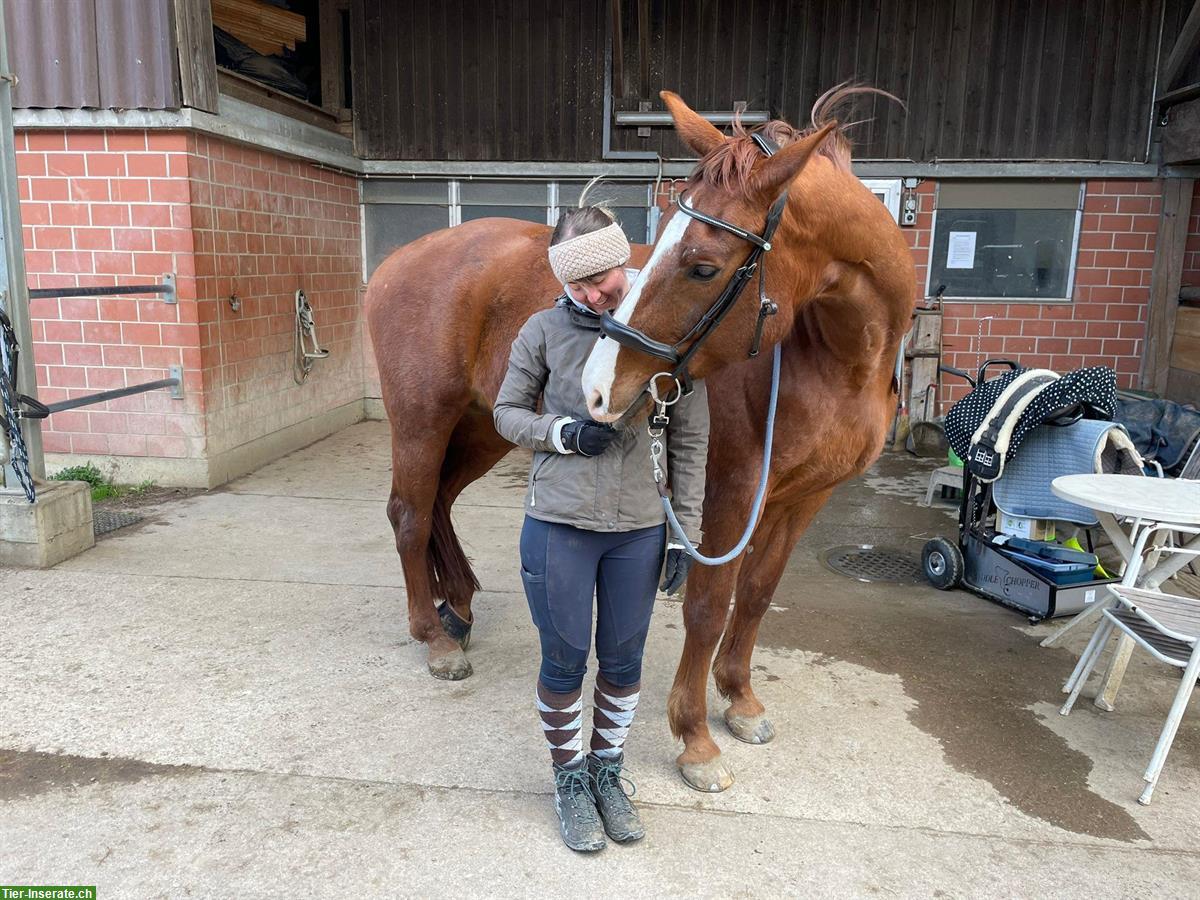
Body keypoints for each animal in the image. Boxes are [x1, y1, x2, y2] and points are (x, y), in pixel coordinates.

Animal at [362, 91, 907, 792]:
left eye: (703, 267)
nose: (596, 385)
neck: (832, 358)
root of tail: (400, 259)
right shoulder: (730, 493)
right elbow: (709, 604)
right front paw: (696, 737)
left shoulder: (803, 498)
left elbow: (757, 595)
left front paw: (742, 701)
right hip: (423, 420)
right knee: (408, 512)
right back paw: (435, 639)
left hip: (485, 428)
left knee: (439, 503)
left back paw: (457, 608)